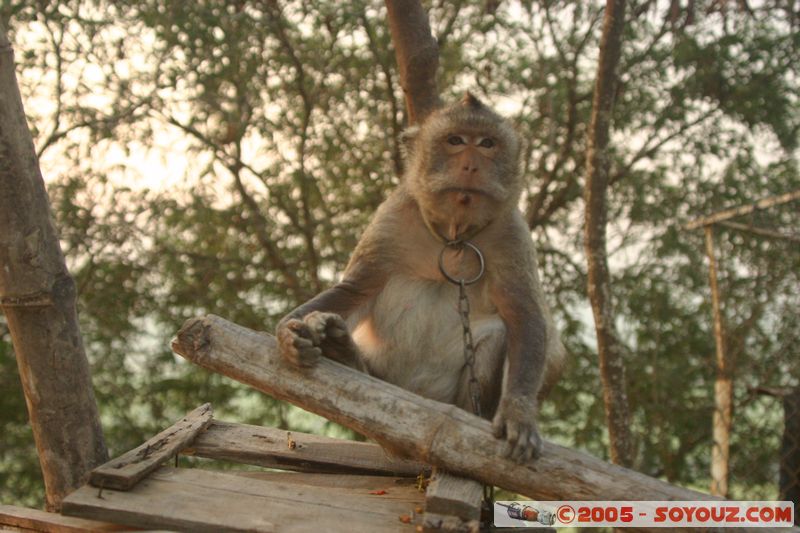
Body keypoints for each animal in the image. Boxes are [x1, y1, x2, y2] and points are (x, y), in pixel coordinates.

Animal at [276, 93, 565, 463]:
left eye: (487, 144)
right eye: (455, 141)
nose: (471, 166)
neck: (454, 237)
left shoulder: (511, 232)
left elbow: (524, 316)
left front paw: (519, 411)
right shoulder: (393, 216)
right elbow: (357, 288)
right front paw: (288, 332)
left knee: (495, 336)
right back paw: (345, 353)